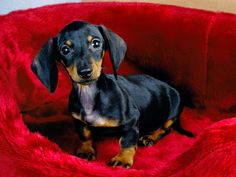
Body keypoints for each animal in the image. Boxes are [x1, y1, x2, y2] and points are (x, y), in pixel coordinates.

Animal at [31, 20, 194, 169]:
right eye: (65, 49)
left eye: (96, 43)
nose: (85, 72)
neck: (89, 94)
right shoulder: (79, 121)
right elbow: (85, 135)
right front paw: (86, 149)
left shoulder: (132, 120)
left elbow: (127, 142)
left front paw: (123, 159)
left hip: (174, 109)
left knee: (166, 128)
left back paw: (150, 137)